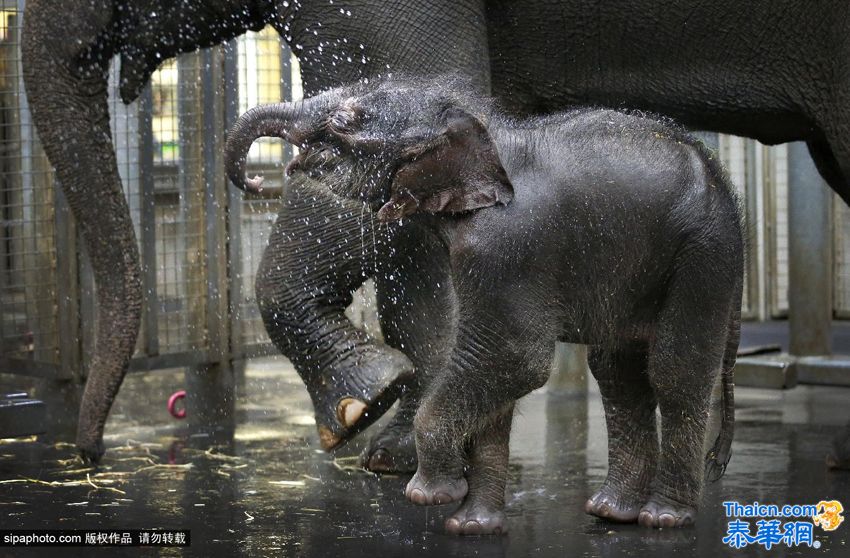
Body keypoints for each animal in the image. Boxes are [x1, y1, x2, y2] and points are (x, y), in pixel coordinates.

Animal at [225, 79, 744, 540]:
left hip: (703, 254)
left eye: (345, 121)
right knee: (617, 374)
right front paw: (472, 527)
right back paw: (611, 513)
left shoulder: (507, 247)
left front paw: (430, 495)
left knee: (675, 372)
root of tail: (724, 183)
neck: (476, 126)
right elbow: (495, 377)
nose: (255, 178)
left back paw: (663, 519)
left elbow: (514, 358)